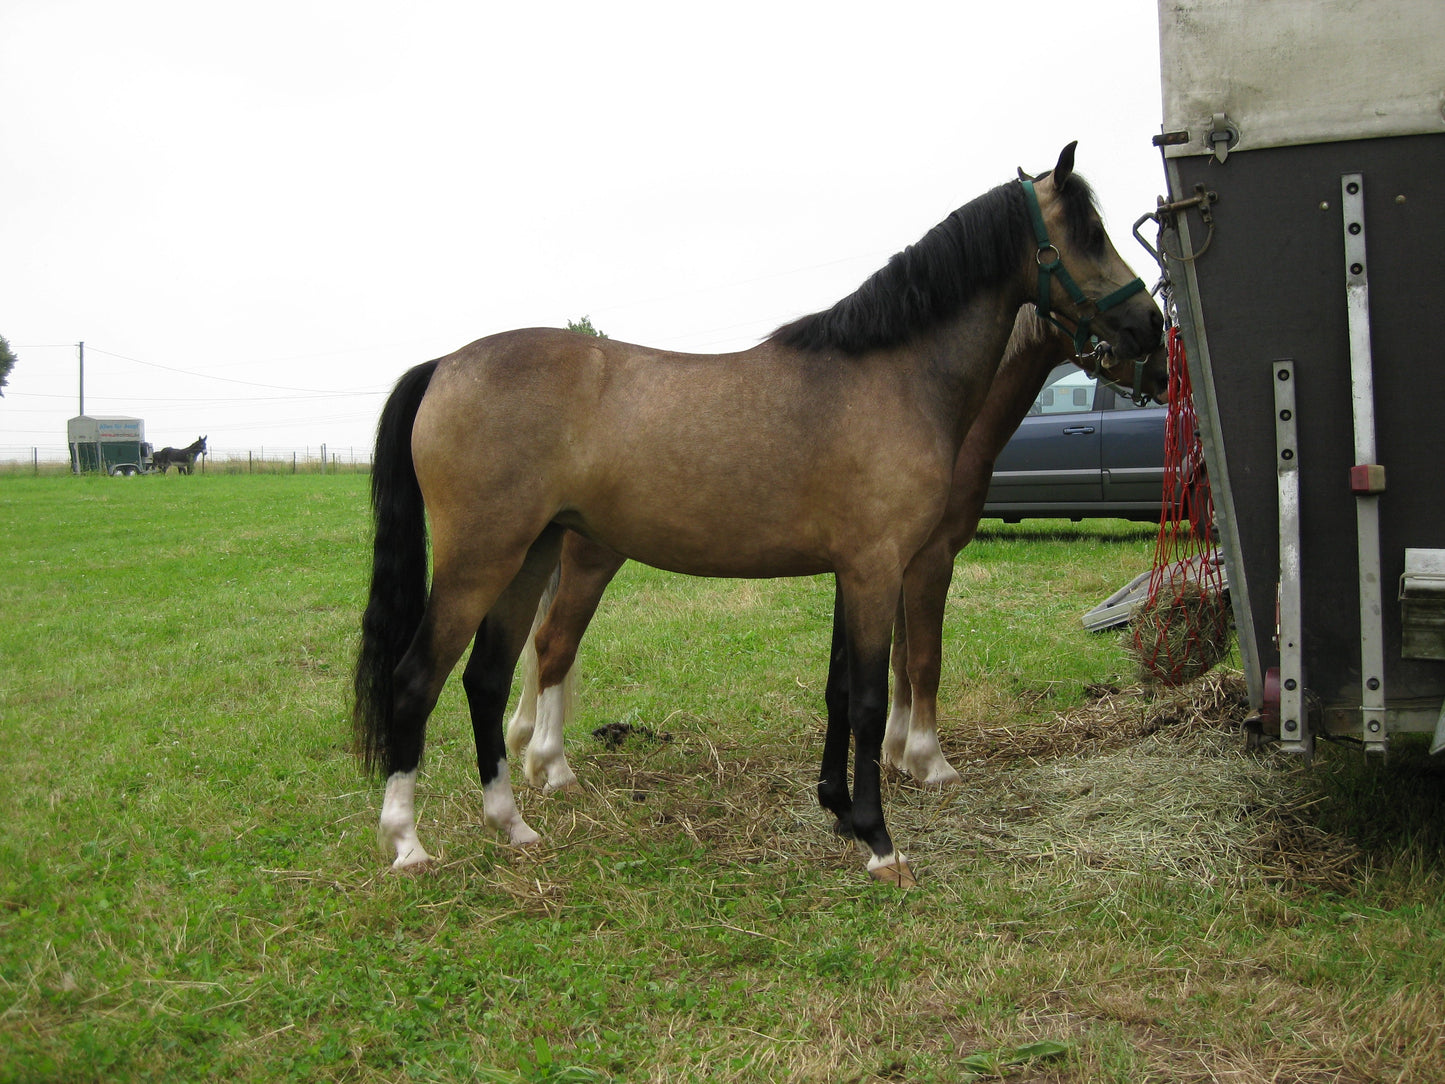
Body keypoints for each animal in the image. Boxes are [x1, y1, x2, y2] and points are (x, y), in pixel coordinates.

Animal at [355, 144, 1167, 884]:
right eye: (1088, 233)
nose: (1151, 332)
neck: (891, 376)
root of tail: (445, 364)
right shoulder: (881, 567)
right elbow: (872, 695)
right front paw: (881, 840)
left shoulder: (854, 570)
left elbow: (840, 690)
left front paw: (839, 810)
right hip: (483, 561)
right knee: (418, 679)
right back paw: (408, 843)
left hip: (529, 558)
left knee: (487, 680)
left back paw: (512, 825)